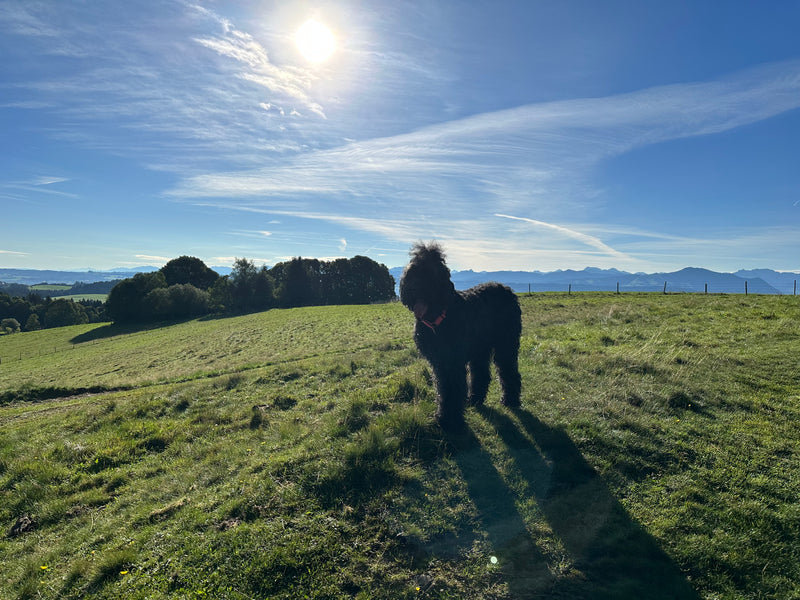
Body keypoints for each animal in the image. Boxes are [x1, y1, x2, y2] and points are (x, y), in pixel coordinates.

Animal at [398, 241, 520, 428]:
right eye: (412, 272)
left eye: (429, 273)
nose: (413, 287)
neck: (439, 315)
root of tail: (507, 289)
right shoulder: (439, 362)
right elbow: (443, 388)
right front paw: (444, 416)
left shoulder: (452, 362)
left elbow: (452, 389)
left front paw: (450, 421)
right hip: (480, 348)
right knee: (481, 373)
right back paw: (475, 399)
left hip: (506, 344)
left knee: (508, 369)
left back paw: (510, 400)